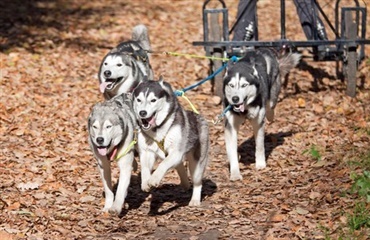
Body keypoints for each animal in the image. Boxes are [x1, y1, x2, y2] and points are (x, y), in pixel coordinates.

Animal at [223, 48, 300, 180]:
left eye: (244, 85)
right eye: (231, 85)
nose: (235, 99)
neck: (245, 109)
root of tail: (262, 50)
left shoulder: (258, 122)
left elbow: (259, 145)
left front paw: (260, 164)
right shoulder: (231, 126)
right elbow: (232, 151)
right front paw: (235, 173)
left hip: (272, 95)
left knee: (270, 107)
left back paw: (270, 115)